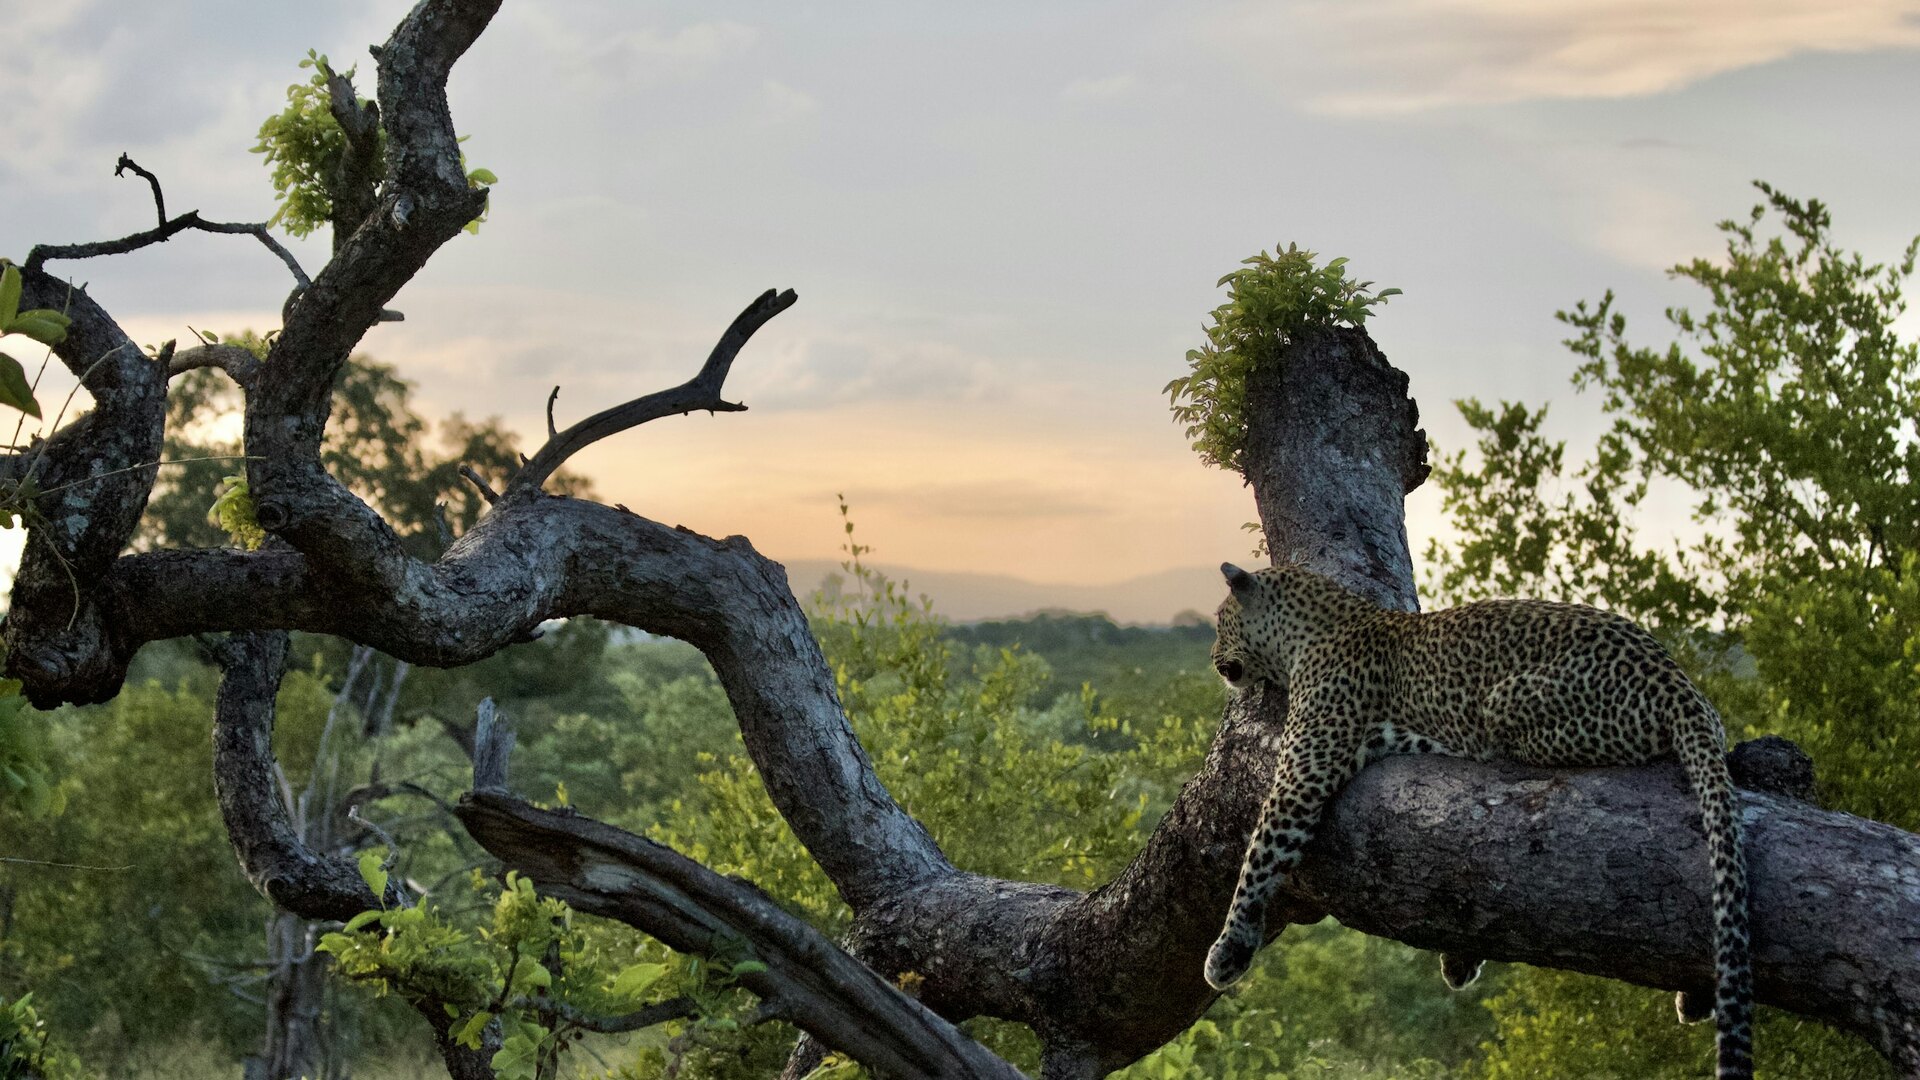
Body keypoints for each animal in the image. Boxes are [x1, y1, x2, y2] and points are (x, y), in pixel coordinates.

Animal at [1201, 561, 1752, 1080]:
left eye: (1220, 621)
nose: (1212, 660)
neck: (1312, 628)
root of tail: (1676, 679)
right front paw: (1460, 959)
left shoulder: (1302, 774)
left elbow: (1259, 859)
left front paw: (1228, 951)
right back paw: (1699, 995)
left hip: (1508, 703)